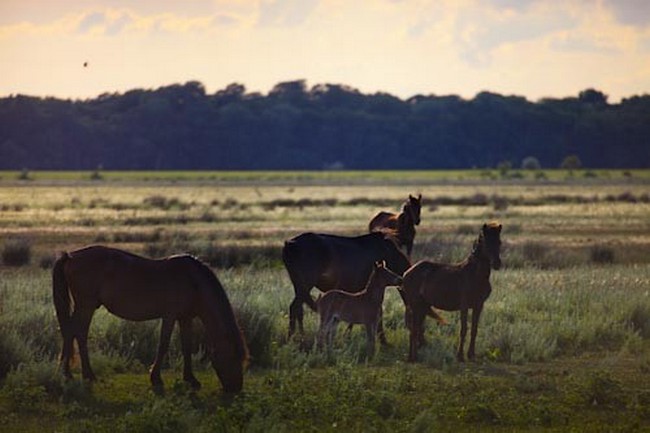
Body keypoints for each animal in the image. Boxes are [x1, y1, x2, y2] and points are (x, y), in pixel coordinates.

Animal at [52, 245, 248, 393]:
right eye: (233, 357)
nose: (236, 388)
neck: (193, 282)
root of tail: (70, 256)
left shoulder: (185, 318)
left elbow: (187, 347)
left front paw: (190, 379)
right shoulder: (169, 317)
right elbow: (163, 344)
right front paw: (156, 378)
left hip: (85, 307)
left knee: (73, 332)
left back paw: (72, 373)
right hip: (86, 306)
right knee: (76, 333)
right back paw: (79, 374)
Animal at [282, 231, 411, 343]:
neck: (388, 251)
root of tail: (290, 244)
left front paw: (347, 336)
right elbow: (377, 314)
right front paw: (383, 340)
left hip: (299, 285)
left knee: (298, 309)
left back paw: (299, 336)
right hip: (305, 284)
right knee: (295, 307)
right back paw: (292, 338)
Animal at [401, 222, 502, 363]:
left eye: (499, 242)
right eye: (486, 242)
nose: (497, 264)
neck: (475, 275)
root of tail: (406, 273)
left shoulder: (479, 305)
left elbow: (474, 330)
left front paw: (471, 355)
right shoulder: (464, 306)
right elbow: (463, 329)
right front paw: (460, 356)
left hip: (422, 307)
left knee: (416, 329)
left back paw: (414, 356)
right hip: (416, 306)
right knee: (414, 330)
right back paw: (412, 358)